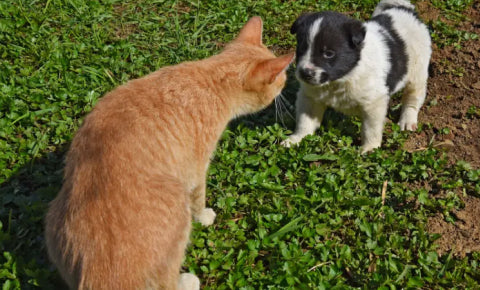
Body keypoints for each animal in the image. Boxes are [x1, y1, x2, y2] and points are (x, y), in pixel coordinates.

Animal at [46, 17, 292, 288]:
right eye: (282, 79)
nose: (286, 86)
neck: (211, 77)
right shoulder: (196, 170)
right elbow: (199, 198)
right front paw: (204, 216)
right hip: (178, 203)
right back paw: (188, 280)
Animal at [284, 0, 434, 153]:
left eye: (329, 53)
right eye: (301, 48)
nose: (305, 73)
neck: (342, 78)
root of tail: (406, 10)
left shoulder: (373, 103)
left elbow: (370, 129)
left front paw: (370, 149)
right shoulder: (310, 97)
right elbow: (304, 121)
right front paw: (296, 139)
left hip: (417, 71)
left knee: (413, 97)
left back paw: (408, 120)